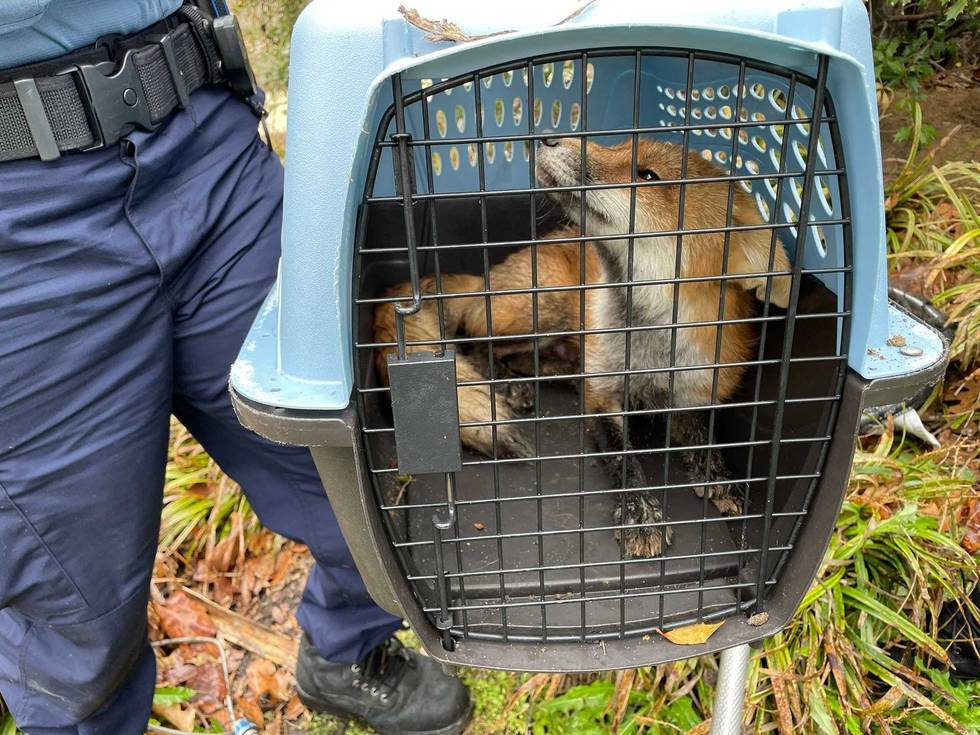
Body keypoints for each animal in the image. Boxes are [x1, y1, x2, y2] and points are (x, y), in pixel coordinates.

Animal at [374, 137, 792, 558]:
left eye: (648, 176)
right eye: (619, 143)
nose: (549, 137)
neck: (649, 348)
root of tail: (486, 279)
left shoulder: (695, 390)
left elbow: (705, 436)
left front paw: (719, 475)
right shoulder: (603, 396)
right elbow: (625, 457)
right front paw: (641, 512)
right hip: (546, 306)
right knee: (476, 343)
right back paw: (510, 385)